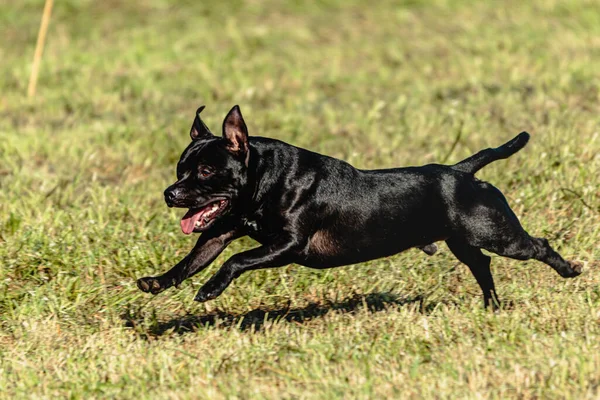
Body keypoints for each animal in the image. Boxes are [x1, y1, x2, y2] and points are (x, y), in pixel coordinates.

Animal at [137, 105, 580, 306]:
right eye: (180, 169)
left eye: (207, 171)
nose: (170, 193)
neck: (264, 179)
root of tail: (460, 171)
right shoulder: (219, 233)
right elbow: (192, 261)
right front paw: (158, 282)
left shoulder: (288, 245)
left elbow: (236, 260)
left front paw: (210, 289)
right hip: (464, 242)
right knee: (483, 267)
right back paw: (491, 306)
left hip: (497, 234)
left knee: (537, 245)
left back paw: (569, 270)